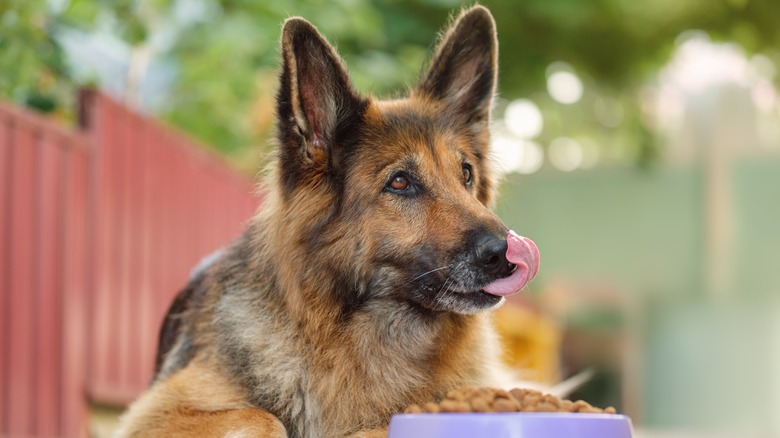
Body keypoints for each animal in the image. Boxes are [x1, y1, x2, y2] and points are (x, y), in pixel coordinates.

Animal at [117, 5, 536, 436]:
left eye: (466, 174)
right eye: (400, 182)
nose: (508, 253)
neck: (356, 333)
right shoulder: (153, 413)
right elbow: (261, 416)